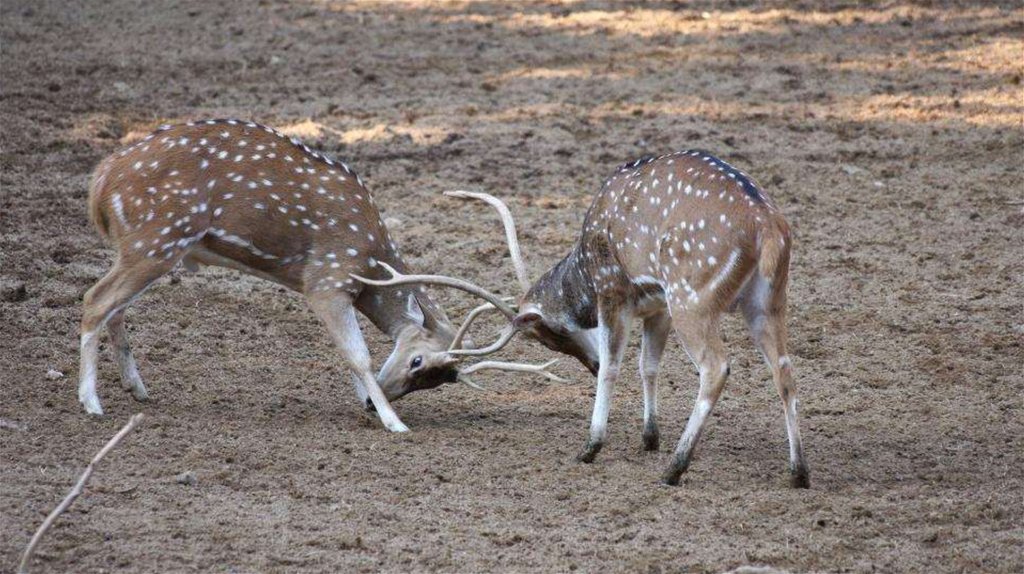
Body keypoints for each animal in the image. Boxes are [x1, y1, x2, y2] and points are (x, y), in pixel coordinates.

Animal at [78, 118, 561, 429]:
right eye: (418, 360)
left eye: (438, 381)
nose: (372, 405)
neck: (371, 258)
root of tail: (101, 180)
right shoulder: (326, 280)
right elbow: (357, 354)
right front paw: (395, 423)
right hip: (156, 239)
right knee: (94, 301)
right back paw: (92, 403)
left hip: (145, 248)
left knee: (114, 307)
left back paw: (137, 388)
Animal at [356, 151, 811, 482]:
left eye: (548, 333)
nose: (585, 361)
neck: (584, 274)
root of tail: (769, 228)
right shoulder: (657, 306)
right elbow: (648, 366)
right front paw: (649, 438)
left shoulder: (615, 292)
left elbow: (614, 366)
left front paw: (591, 446)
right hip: (767, 300)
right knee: (785, 370)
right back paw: (798, 472)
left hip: (693, 295)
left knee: (716, 367)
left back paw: (675, 469)